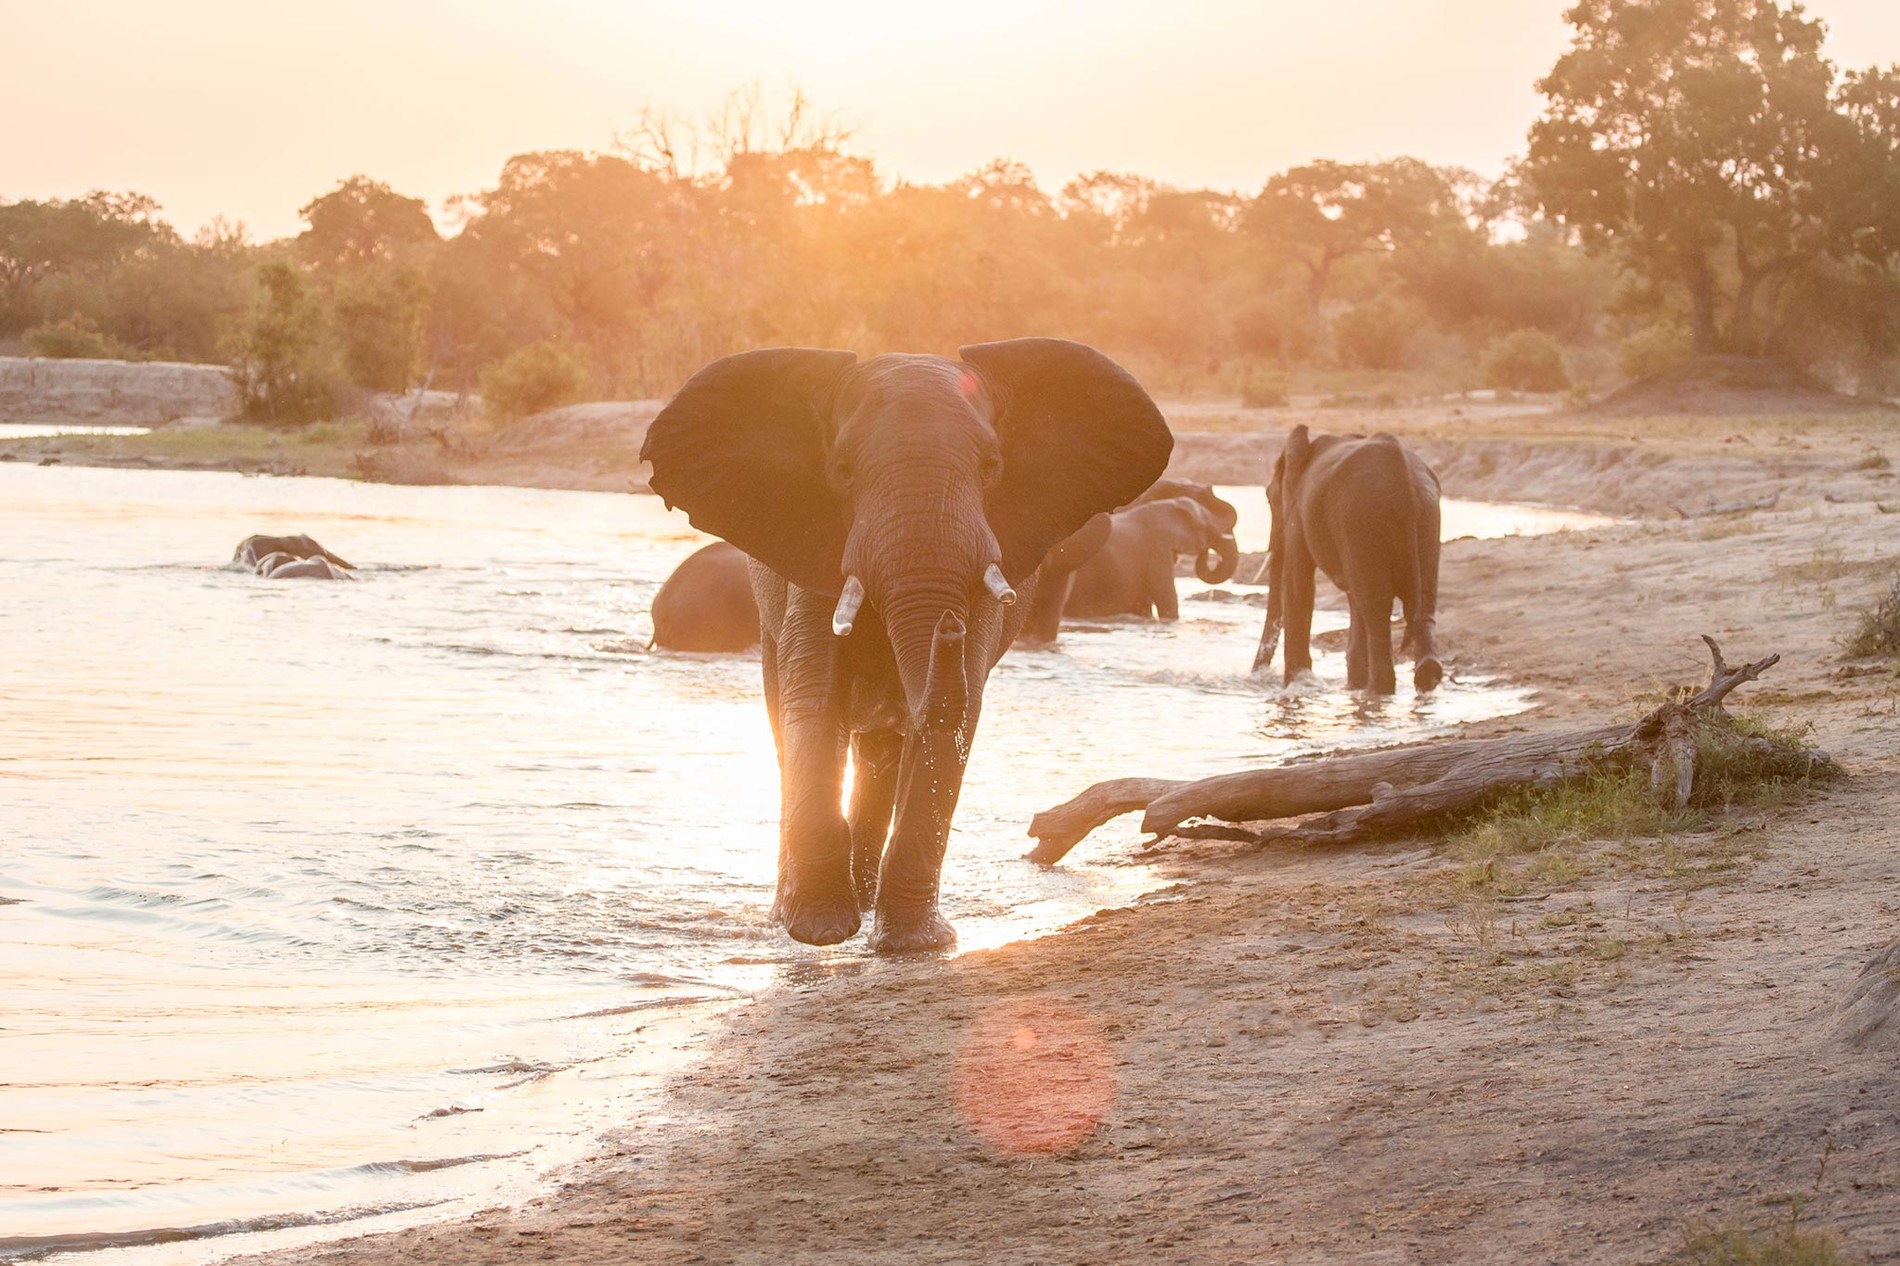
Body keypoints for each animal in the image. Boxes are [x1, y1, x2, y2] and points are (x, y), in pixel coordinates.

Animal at [641, 339, 1172, 952]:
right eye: (841, 472)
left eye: (992, 468)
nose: (948, 628)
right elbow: (815, 697)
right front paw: (821, 934)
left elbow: (958, 709)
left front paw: (915, 945)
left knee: (883, 748)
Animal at [1253, 424, 1442, 695]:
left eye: (1270, 498)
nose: (1259, 676)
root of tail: (1403, 477)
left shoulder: (1300, 513)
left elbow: (1298, 586)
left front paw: (1296, 684)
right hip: (1426, 517)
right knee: (1420, 601)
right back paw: (1424, 677)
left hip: (1362, 517)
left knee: (1375, 607)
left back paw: (1376, 690)